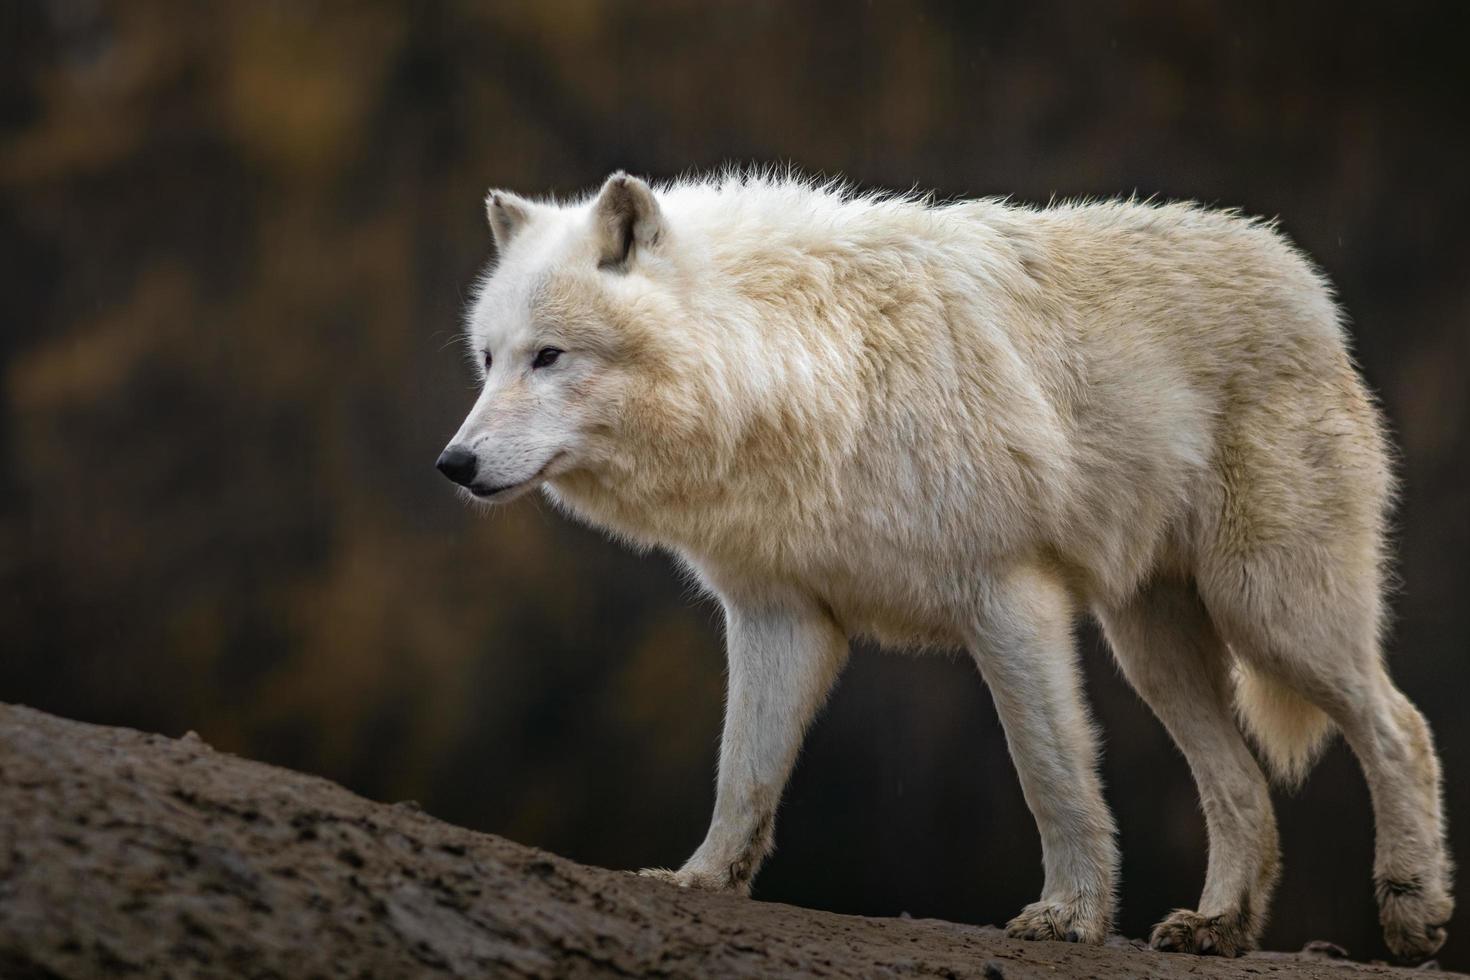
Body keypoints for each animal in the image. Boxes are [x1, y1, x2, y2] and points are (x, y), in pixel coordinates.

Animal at [435, 172, 1446, 963]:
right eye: (487, 360)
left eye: (549, 356)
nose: (454, 464)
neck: (799, 375)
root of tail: (1295, 270)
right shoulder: (781, 617)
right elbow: (743, 775)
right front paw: (701, 883)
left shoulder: (1009, 598)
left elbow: (1051, 772)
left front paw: (1068, 916)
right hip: (1152, 648)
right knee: (1240, 785)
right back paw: (1218, 927)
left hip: (1272, 617)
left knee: (1399, 726)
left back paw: (1412, 910)